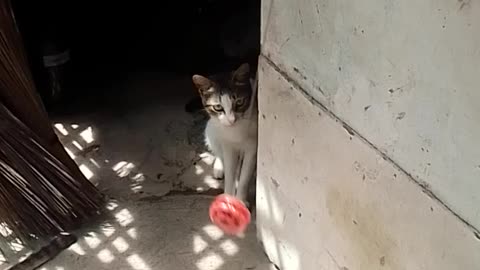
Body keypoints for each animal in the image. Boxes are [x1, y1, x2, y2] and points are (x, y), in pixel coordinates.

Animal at [192, 62, 258, 205]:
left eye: (239, 102)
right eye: (218, 107)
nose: (231, 120)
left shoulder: (253, 146)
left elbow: (245, 175)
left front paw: (240, 200)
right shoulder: (228, 144)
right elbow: (230, 171)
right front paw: (228, 196)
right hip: (211, 129)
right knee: (218, 151)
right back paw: (219, 167)